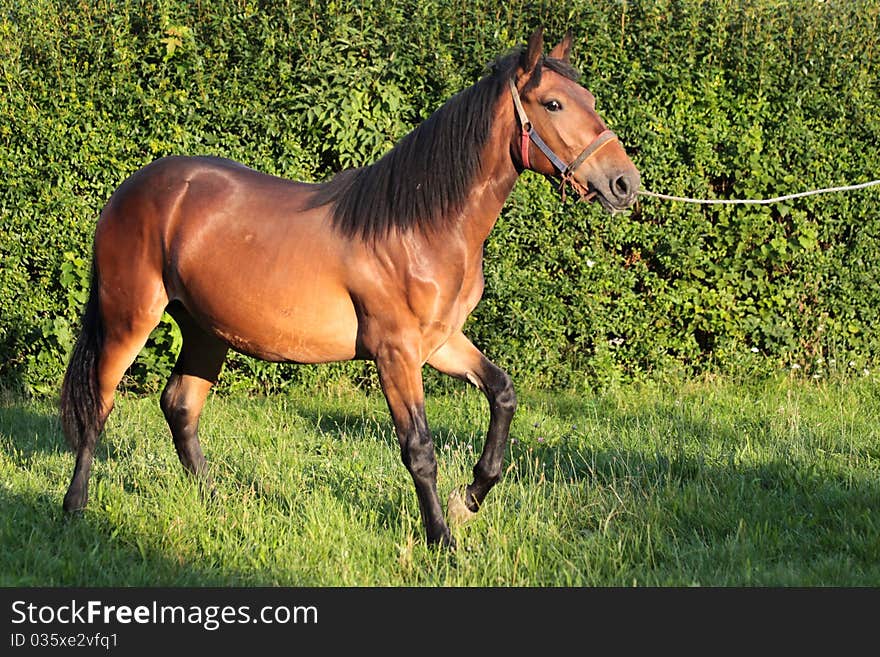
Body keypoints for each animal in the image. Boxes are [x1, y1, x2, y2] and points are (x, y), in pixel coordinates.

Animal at [62, 28, 640, 544]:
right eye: (553, 104)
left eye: (589, 100)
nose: (624, 184)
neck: (419, 226)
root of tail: (131, 190)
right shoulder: (395, 352)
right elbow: (419, 449)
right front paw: (443, 540)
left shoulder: (440, 342)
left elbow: (502, 392)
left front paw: (469, 498)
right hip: (129, 318)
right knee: (99, 404)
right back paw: (75, 507)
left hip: (207, 331)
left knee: (180, 406)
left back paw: (216, 503)